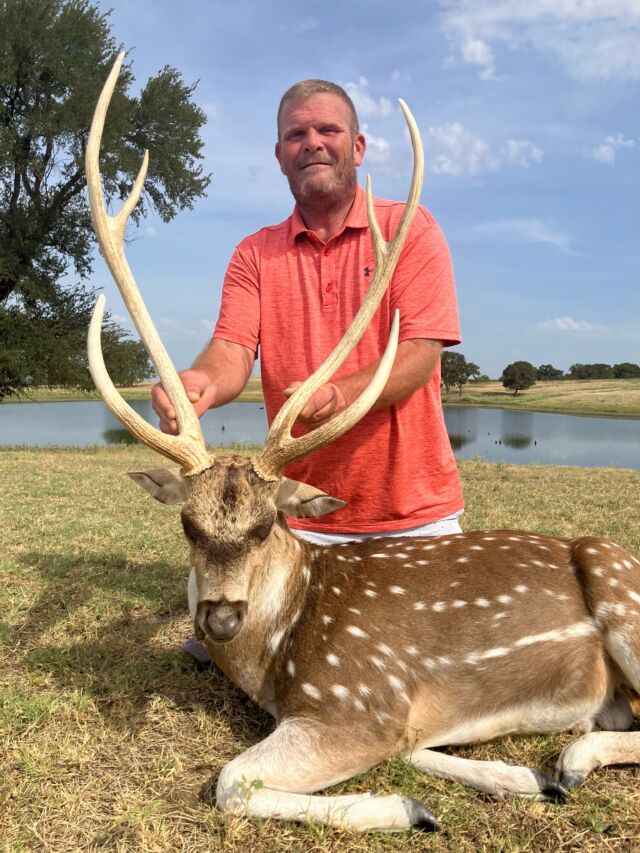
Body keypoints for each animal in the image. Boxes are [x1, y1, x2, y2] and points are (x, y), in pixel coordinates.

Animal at [85, 54, 640, 833]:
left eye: (266, 525)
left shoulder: (360, 699)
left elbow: (229, 782)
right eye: (188, 524)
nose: (220, 615)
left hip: (621, 585)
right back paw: (526, 771)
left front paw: (408, 809)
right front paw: (458, 787)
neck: (275, 661)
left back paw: (567, 761)